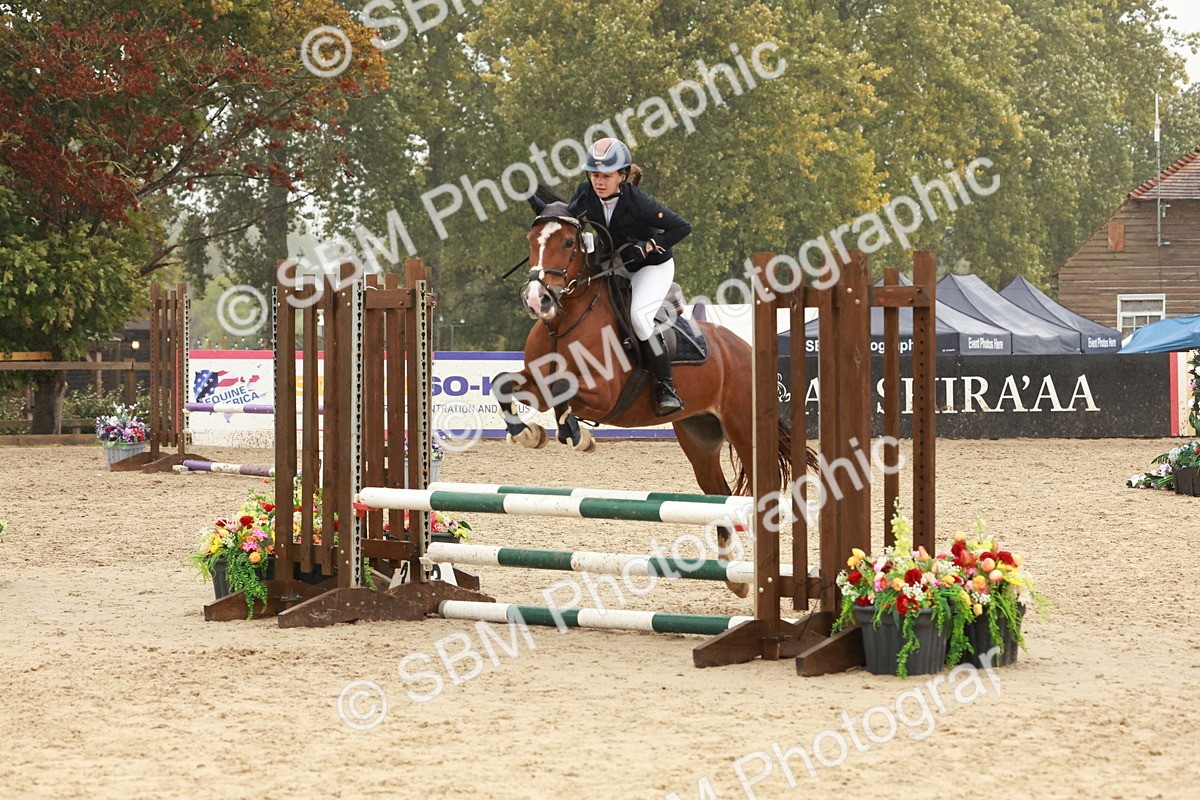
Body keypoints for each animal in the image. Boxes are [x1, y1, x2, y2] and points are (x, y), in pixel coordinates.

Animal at [491, 198, 815, 597]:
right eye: (530, 240)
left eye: (568, 242)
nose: (539, 300)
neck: (564, 322)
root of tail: (745, 349)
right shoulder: (536, 381)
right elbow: (503, 384)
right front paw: (529, 434)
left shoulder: (604, 393)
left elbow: (564, 396)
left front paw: (577, 436)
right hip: (698, 436)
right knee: (719, 493)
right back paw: (733, 576)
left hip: (744, 429)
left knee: (757, 492)